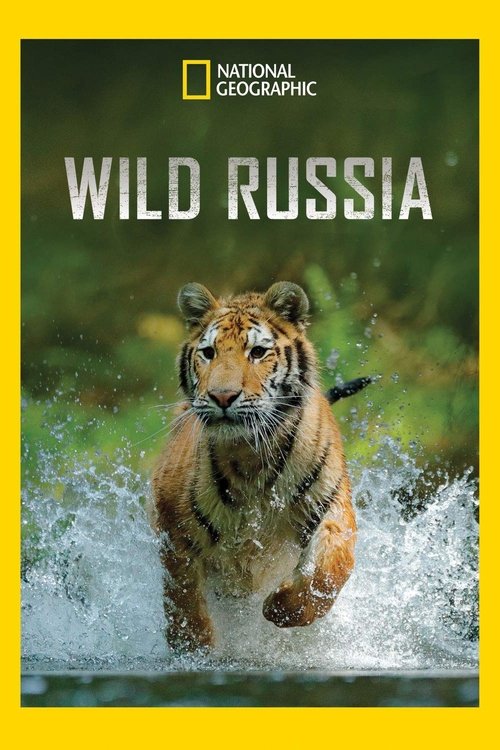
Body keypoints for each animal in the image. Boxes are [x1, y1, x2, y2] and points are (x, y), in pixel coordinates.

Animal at [151, 281, 358, 652]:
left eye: (258, 352)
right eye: (209, 353)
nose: (222, 396)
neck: (250, 454)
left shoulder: (331, 504)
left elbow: (332, 566)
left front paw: (284, 609)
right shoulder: (171, 521)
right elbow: (183, 594)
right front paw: (194, 649)